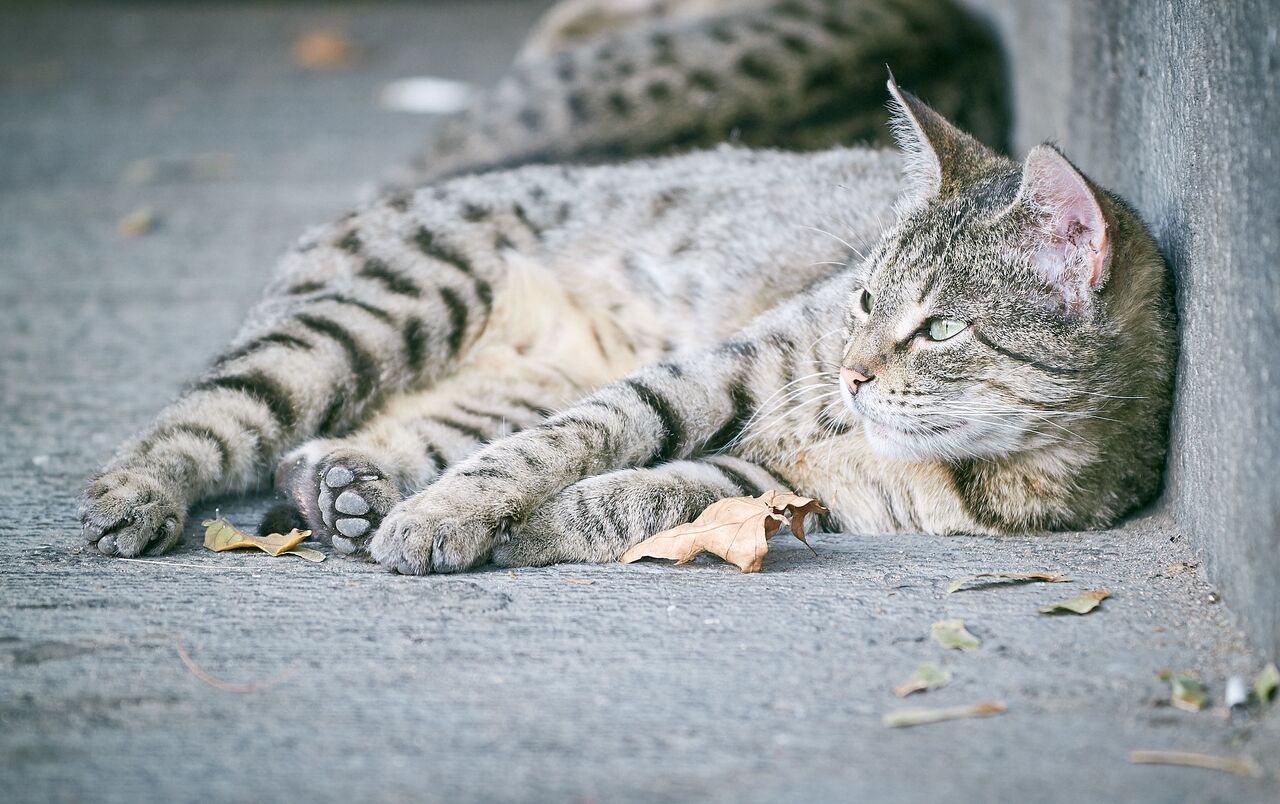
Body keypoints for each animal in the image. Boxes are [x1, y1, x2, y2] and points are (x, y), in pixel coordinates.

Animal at [82, 0, 1172, 570]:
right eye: (863, 300)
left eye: (940, 329)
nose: (854, 373)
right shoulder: (715, 373)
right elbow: (577, 441)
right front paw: (454, 517)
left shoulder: (781, 489)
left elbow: (642, 499)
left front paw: (526, 528)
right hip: (374, 314)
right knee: (213, 414)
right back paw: (137, 495)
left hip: (482, 385)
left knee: (352, 441)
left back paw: (349, 491)